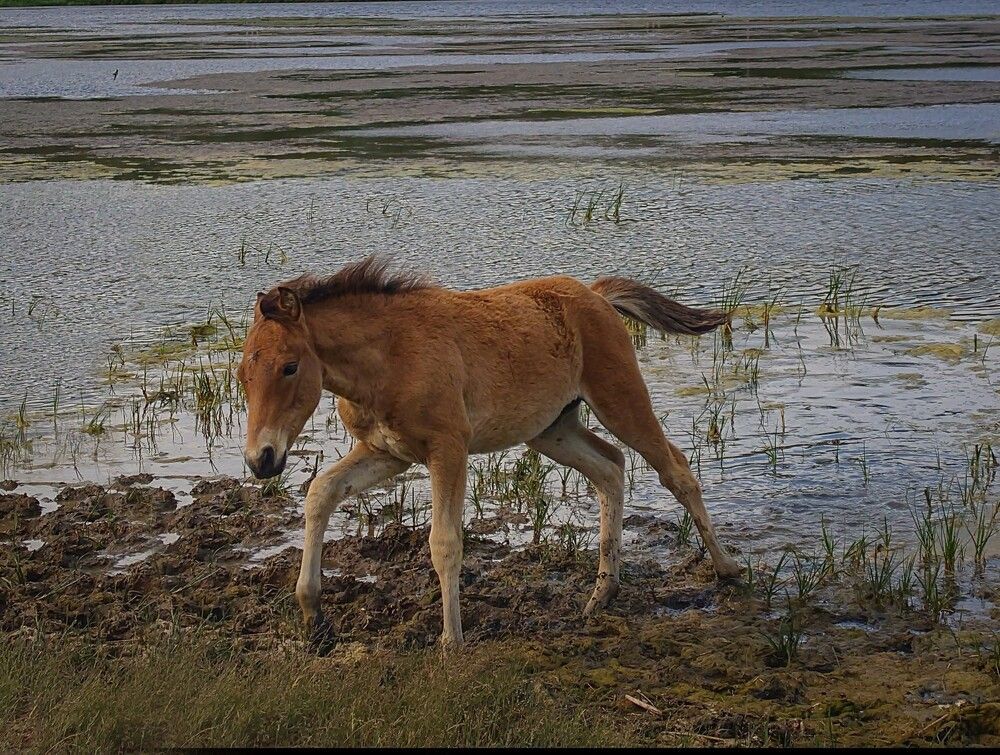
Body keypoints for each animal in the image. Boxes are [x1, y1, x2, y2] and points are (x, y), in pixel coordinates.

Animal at [237, 257, 741, 647]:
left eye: (289, 367)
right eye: (243, 373)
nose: (261, 460)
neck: (388, 357)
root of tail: (596, 295)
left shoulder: (448, 448)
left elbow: (444, 542)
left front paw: (451, 643)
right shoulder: (387, 452)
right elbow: (320, 493)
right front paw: (313, 615)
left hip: (620, 400)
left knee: (675, 469)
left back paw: (727, 569)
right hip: (551, 429)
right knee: (611, 468)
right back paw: (602, 593)